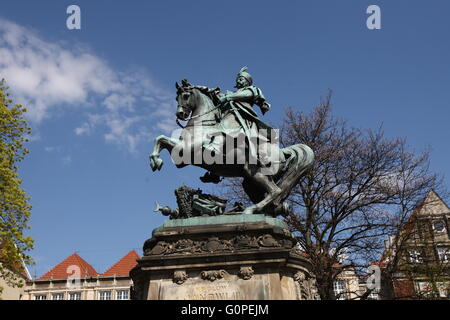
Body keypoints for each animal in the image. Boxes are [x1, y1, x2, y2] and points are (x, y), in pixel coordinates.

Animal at [149, 79, 314, 215]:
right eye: (176, 97)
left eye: (185, 95)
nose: (180, 114)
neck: (203, 124)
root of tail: (283, 152)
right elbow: (160, 139)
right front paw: (154, 160)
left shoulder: (185, 152)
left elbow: (161, 139)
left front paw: (156, 161)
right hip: (249, 181)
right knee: (271, 197)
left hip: (259, 174)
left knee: (275, 191)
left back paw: (249, 210)